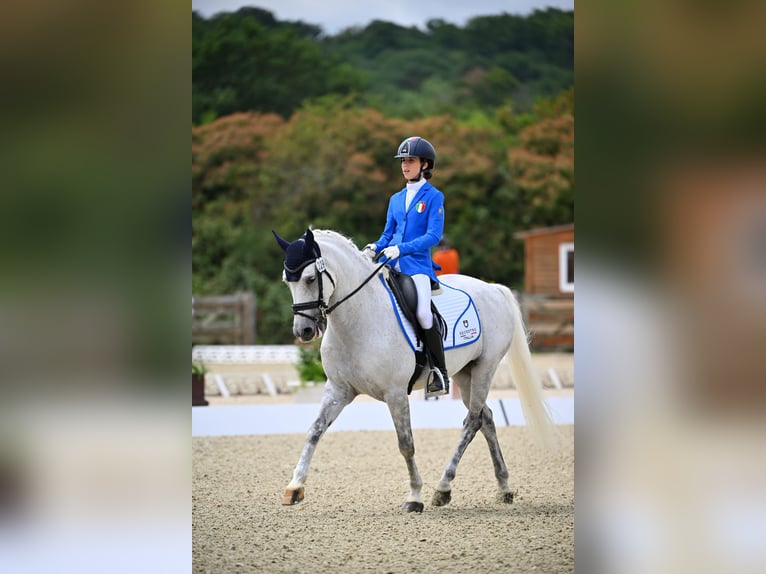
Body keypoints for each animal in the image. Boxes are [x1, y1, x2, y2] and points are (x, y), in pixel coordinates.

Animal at [273, 228, 557, 513]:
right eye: (288, 282)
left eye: (310, 278)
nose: (303, 331)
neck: (358, 319)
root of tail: (493, 289)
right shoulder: (338, 390)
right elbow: (315, 431)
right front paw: (294, 487)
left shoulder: (395, 393)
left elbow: (406, 444)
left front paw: (414, 496)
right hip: (465, 373)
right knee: (485, 417)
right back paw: (503, 487)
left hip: (485, 367)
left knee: (472, 421)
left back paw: (443, 487)